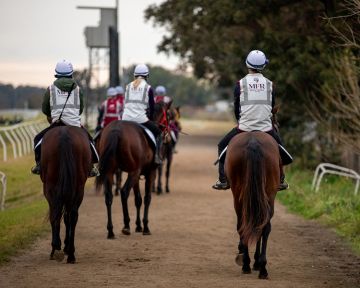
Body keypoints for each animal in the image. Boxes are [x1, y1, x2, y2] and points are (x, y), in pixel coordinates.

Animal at [40, 126, 92, 264]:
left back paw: (56, 249)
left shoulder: (48, 190)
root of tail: (64, 134)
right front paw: (66, 247)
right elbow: (67, 217)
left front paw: (59, 246)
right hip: (79, 188)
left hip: (50, 186)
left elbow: (56, 215)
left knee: (56, 213)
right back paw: (71, 255)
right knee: (72, 216)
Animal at [95, 102, 169, 237]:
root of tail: (116, 130)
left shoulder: (136, 175)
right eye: (169, 115)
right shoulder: (150, 173)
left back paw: (111, 231)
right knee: (124, 192)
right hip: (134, 172)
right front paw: (145, 227)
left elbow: (137, 199)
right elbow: (146, 198)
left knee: (109, 197)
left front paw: (138, 226)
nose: (168, 134)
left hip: (110, 172)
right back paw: (126, 226)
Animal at [225, 131, 282, 280]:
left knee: (244, 225)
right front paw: (256, 262)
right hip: (269, 194)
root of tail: (253, 142)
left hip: (239, 196)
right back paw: (261, 268)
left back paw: (248, 264)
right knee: (263, 227)